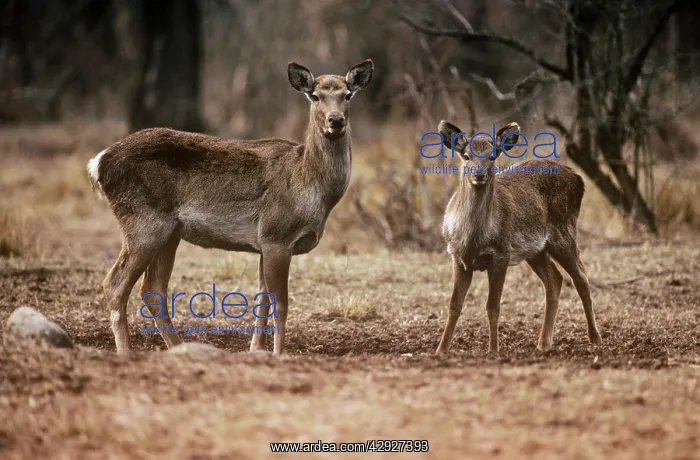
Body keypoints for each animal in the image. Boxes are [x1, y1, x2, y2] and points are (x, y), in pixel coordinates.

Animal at [87, 59, 373, 355]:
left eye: (348, 95)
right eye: (315, 96)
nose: (335, 120)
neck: (307, 186)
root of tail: (98, 163)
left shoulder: (264, 243)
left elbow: (262, 300)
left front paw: (256, 350)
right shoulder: (277, 235)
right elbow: (280, 304)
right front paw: (278, 353)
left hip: (168, 233)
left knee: (152, 288)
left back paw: (179, 347)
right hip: (142, 222)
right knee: (115, 284)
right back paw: (127, 352)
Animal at [434, 120, 602, 356]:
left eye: (492, 156)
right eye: (466, 156)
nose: (479, 174)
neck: (473, 238)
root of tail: (579, 178)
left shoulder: (501, 255)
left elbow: (493, 306)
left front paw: (493, 350)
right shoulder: (458, 257)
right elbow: (454, 305)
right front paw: (440, 351)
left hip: (564, 232)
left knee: (581, 277)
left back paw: (595, 338)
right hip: (535, 249)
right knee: (555, 279)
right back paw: (543, 342)